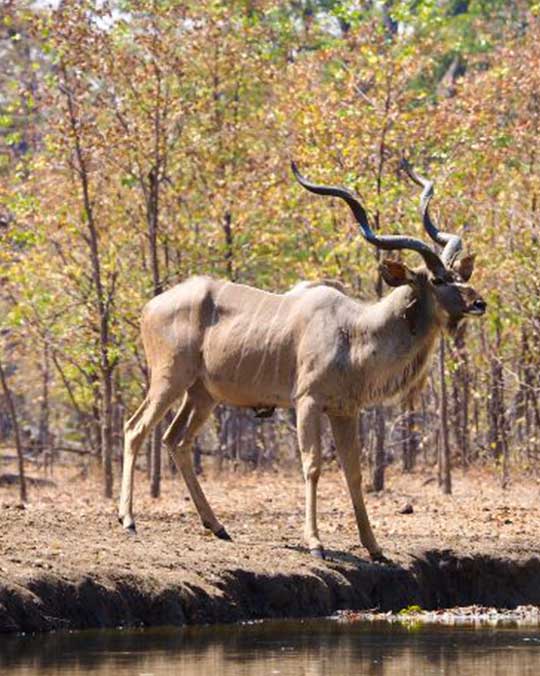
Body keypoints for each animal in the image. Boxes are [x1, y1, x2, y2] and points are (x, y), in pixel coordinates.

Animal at [118, 161, 486, 562]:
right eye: (437, 279)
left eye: (460, 274)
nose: (479, 302)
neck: (355, 331)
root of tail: (150, 306)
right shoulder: (307, 402)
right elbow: (312, 466)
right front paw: (315, 543)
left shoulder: (345, 410)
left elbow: (354, 471)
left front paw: (374, 547)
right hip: (169, 380)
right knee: (135, 428)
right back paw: (129, 520)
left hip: (202, 394)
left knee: (176, 440)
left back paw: (217, 526)